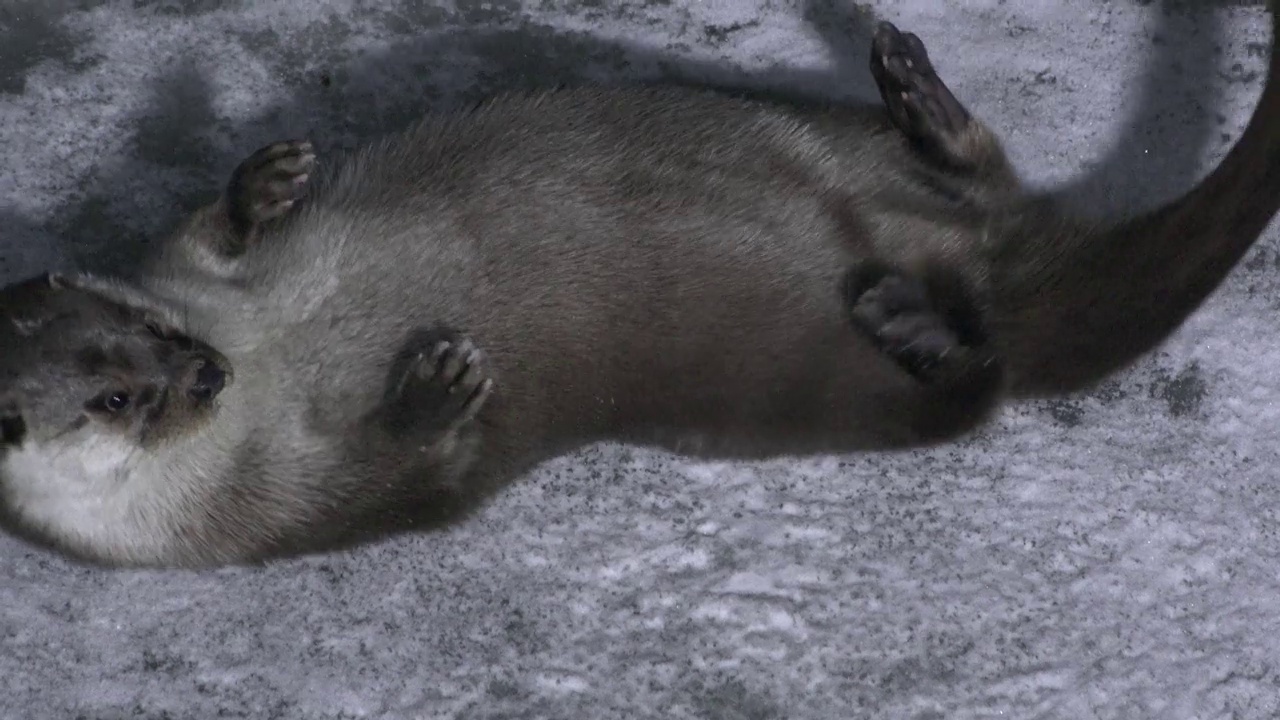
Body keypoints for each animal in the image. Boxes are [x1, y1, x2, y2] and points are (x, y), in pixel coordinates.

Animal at [0, 15, 1274, 566]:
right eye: (115, 403)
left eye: (142, 331)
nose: (200, 370)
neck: (262, 365)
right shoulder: (284, 514)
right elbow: (416, 477)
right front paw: (438, 383)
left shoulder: (177, 265)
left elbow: (205, 225)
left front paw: (266, 178)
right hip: (849, 390)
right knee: (975, 390)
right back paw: (917, 328)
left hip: (851, 149)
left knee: (982, 180)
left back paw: (917, 100)